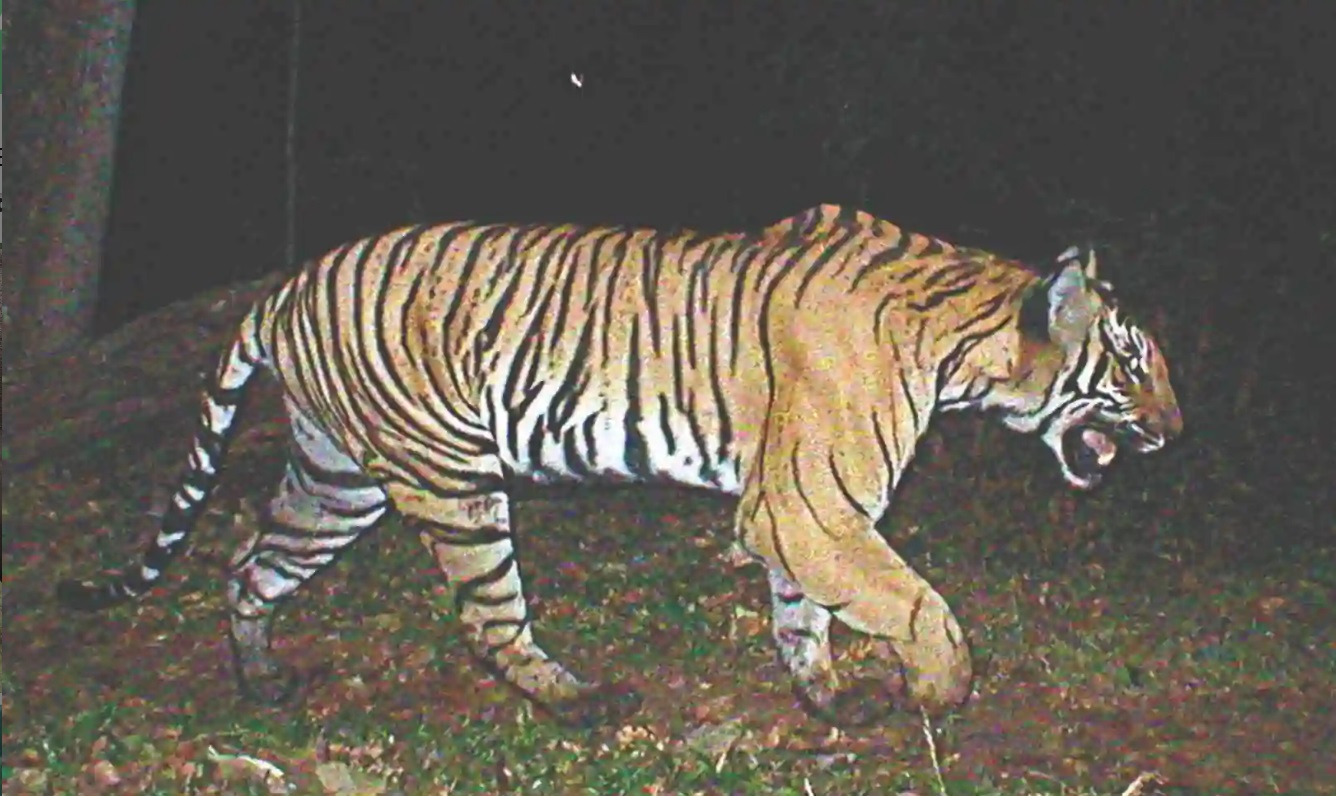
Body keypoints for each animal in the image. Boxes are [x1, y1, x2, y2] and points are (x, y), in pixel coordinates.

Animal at [58, 203, 1182, 729]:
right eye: (1132, 364)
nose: (1176, 430)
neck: (960, 346)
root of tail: (285, 285)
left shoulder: (794, 513)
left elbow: (805, 616)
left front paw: (828, 701)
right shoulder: (811, 503)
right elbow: (911, 601)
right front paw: (943, 690)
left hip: (340, 478)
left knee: (248, 560)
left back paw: (260, 681)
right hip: (452, 477)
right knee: (488, 619)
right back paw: (579, 700)